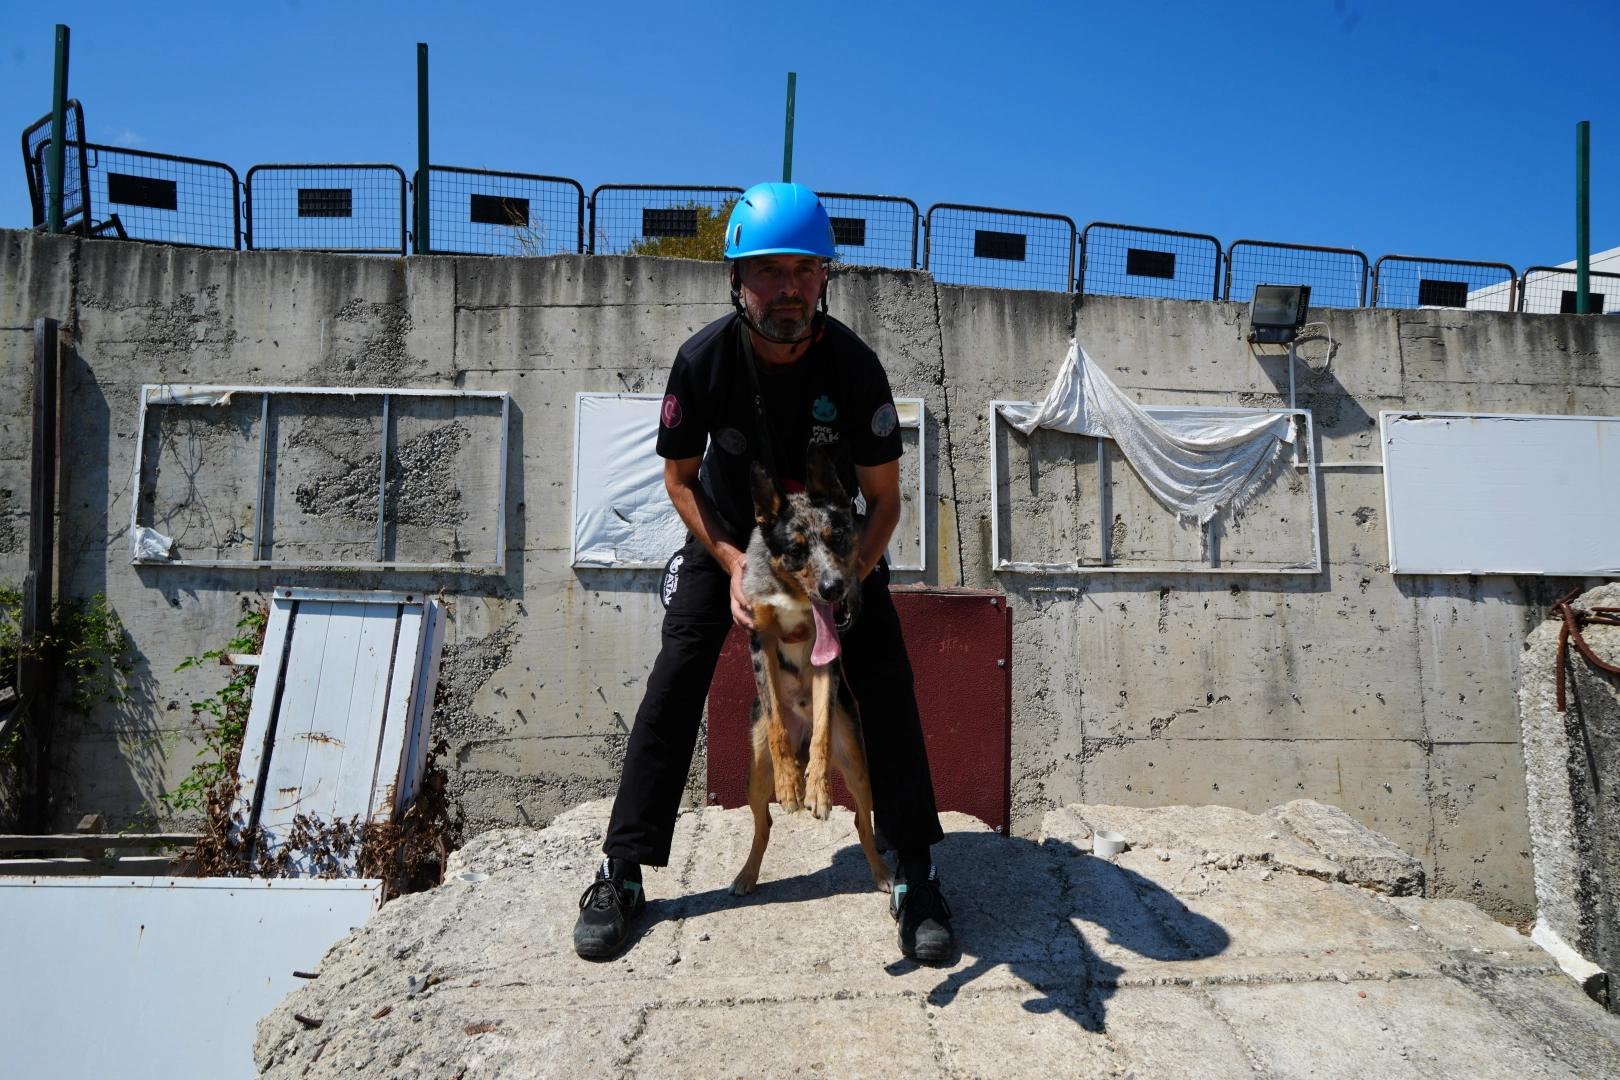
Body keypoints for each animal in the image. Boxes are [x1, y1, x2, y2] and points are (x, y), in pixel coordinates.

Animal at [729, 443, 894, 900]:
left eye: (837, 538)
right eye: (797, 548)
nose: (835, 588)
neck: (795, 597)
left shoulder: (828, 664)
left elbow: (821, 728)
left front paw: (817, 787)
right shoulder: (760, 641)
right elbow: (774, 722)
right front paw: (790, 782)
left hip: (857, 765)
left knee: (863, 823)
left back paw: (882, 873)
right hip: (755, 773)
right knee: (763, 825)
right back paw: (748, 873)